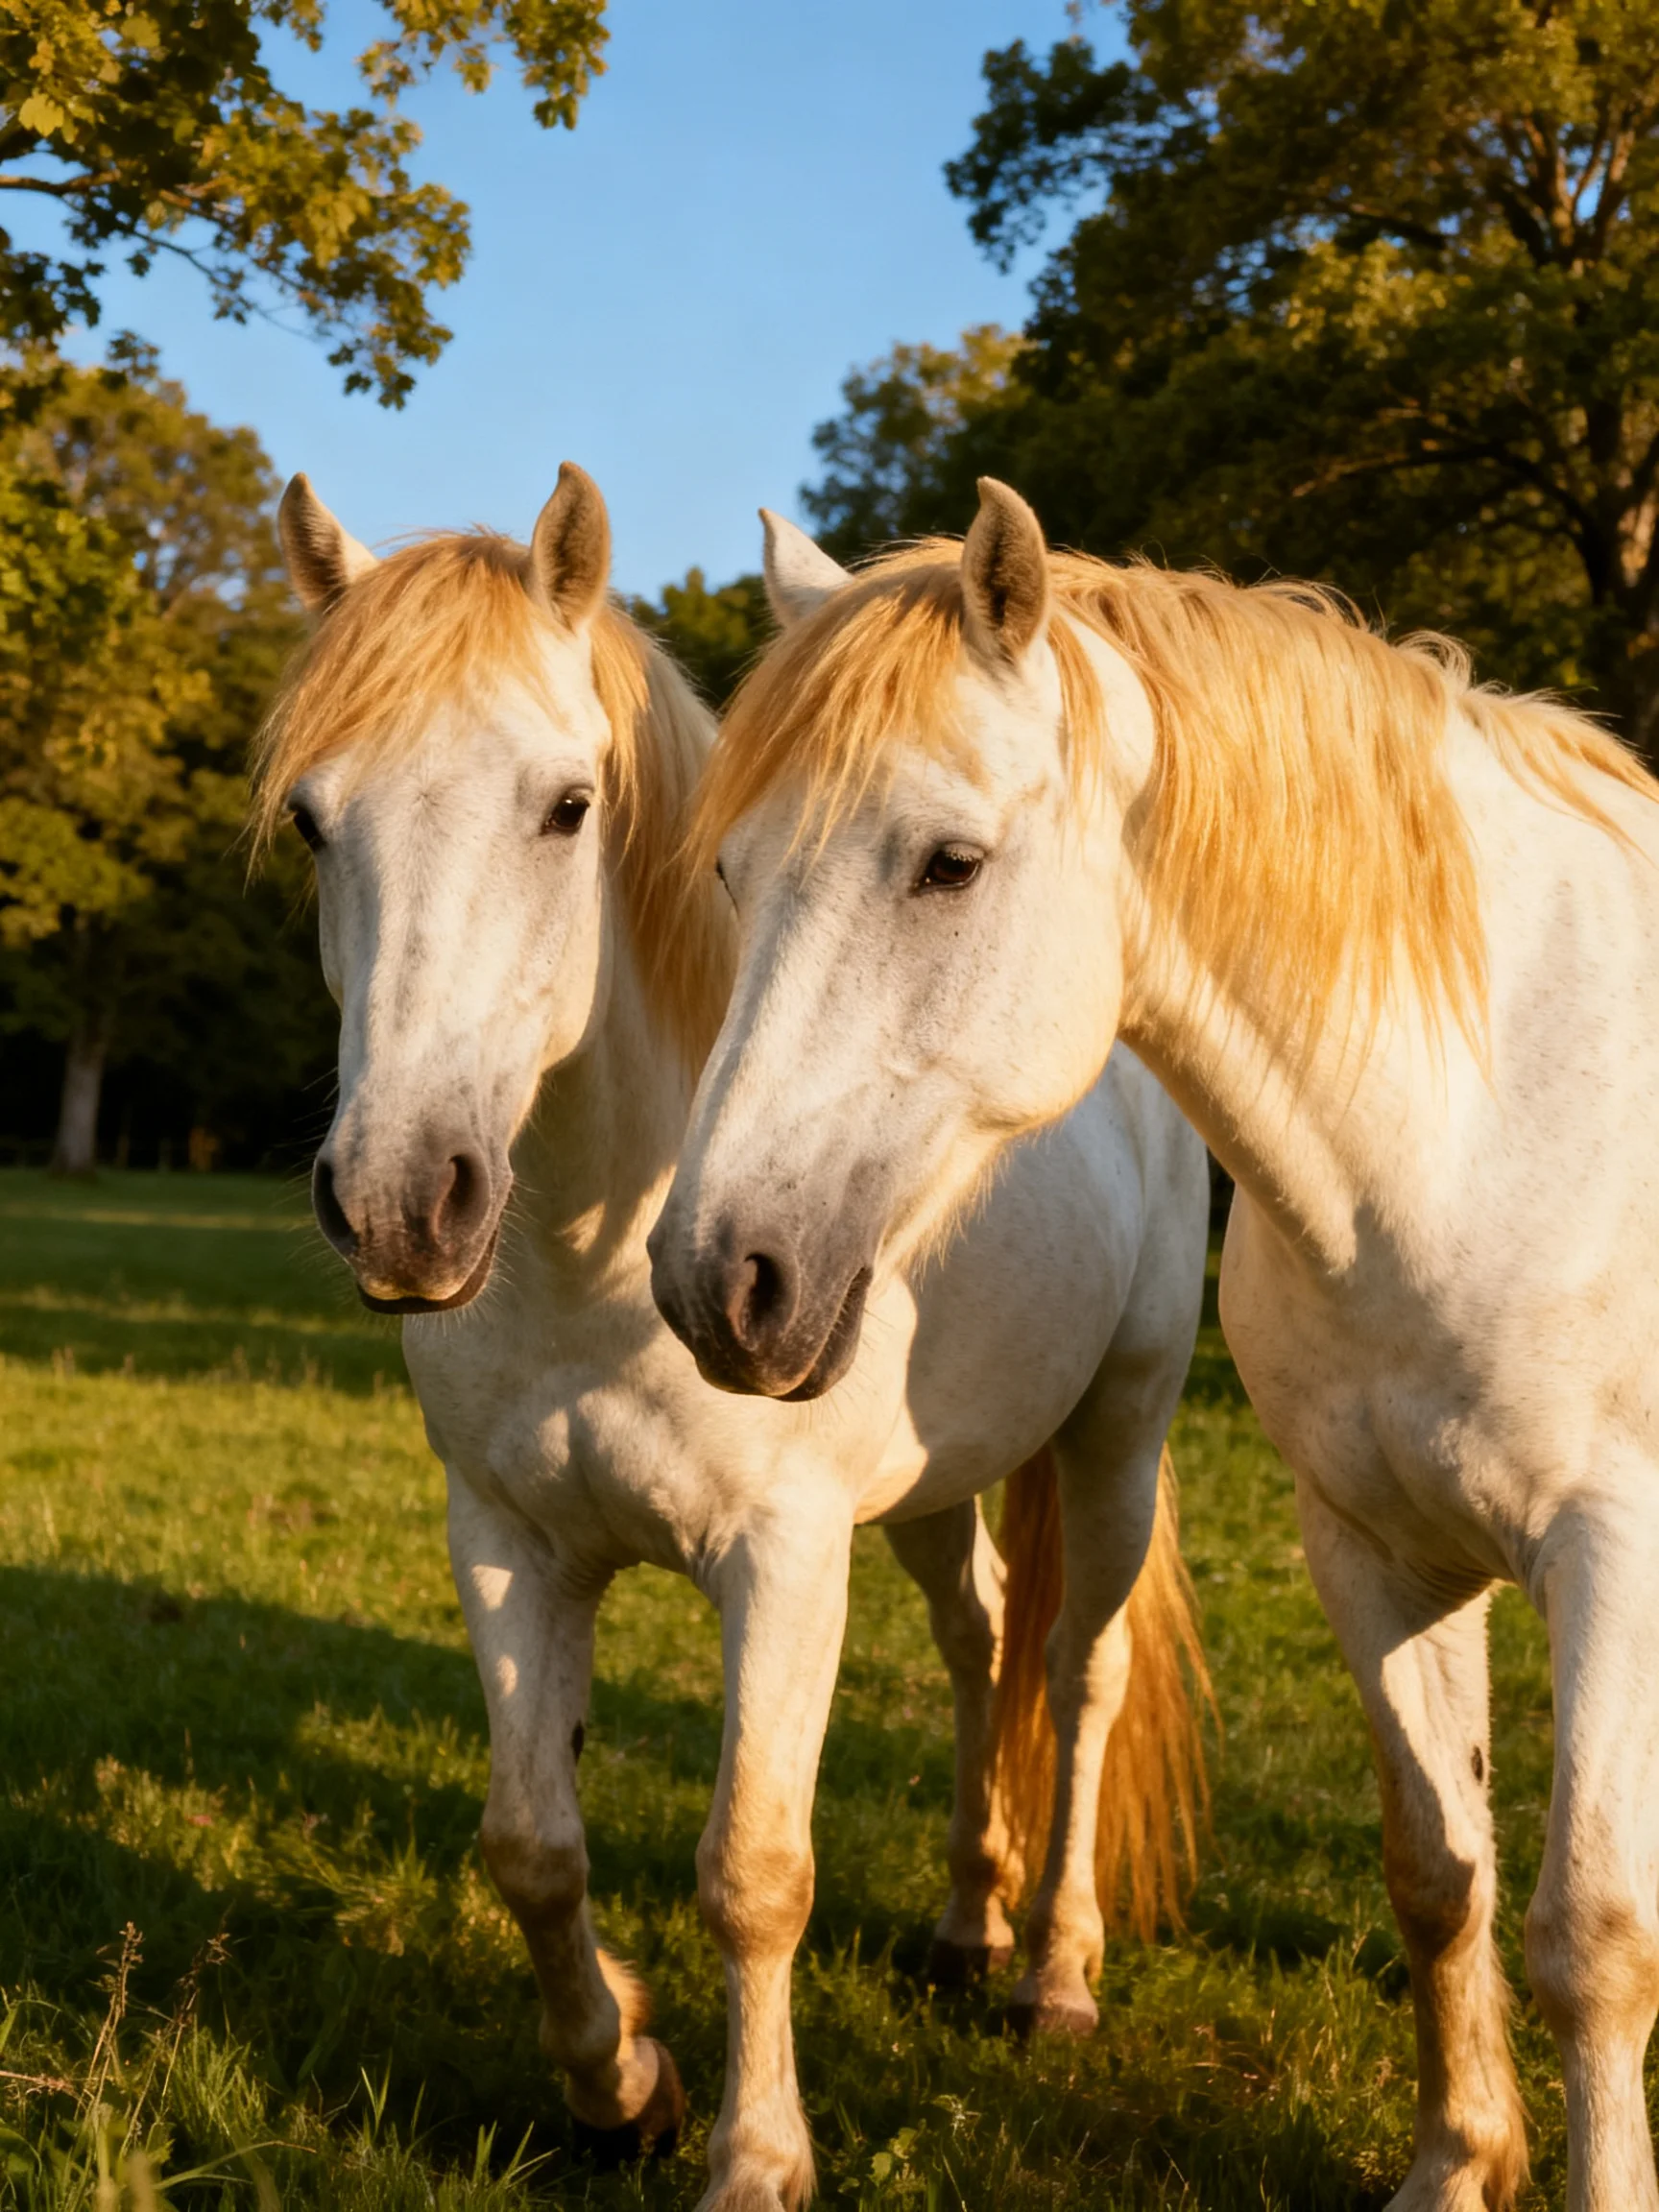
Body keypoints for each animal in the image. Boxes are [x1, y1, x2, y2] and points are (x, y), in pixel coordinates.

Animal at [255, 463, 1214, 2212]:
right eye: (311, 821)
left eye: (567, 806)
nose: (402, 1203)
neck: (596, 1261)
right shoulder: (508, 1540)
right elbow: (530, 1842)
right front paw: (618, 2081)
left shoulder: (779, 1556)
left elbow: (755, 1868)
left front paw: (755, 2155)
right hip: (930, 1491)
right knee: (980, 1639)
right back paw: (965, 1925)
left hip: (1119, 1429)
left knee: (1081, 1670)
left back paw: (1054, 1970)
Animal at [647, 481, 1659, 2212]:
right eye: (730, 868)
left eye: (949, 863)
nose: (721, 1278)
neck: (1490, 1118)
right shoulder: (1378, 1554)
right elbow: (1438, 1873)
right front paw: (1457, 2160)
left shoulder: (1610, 1553)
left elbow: (1589, 1938)